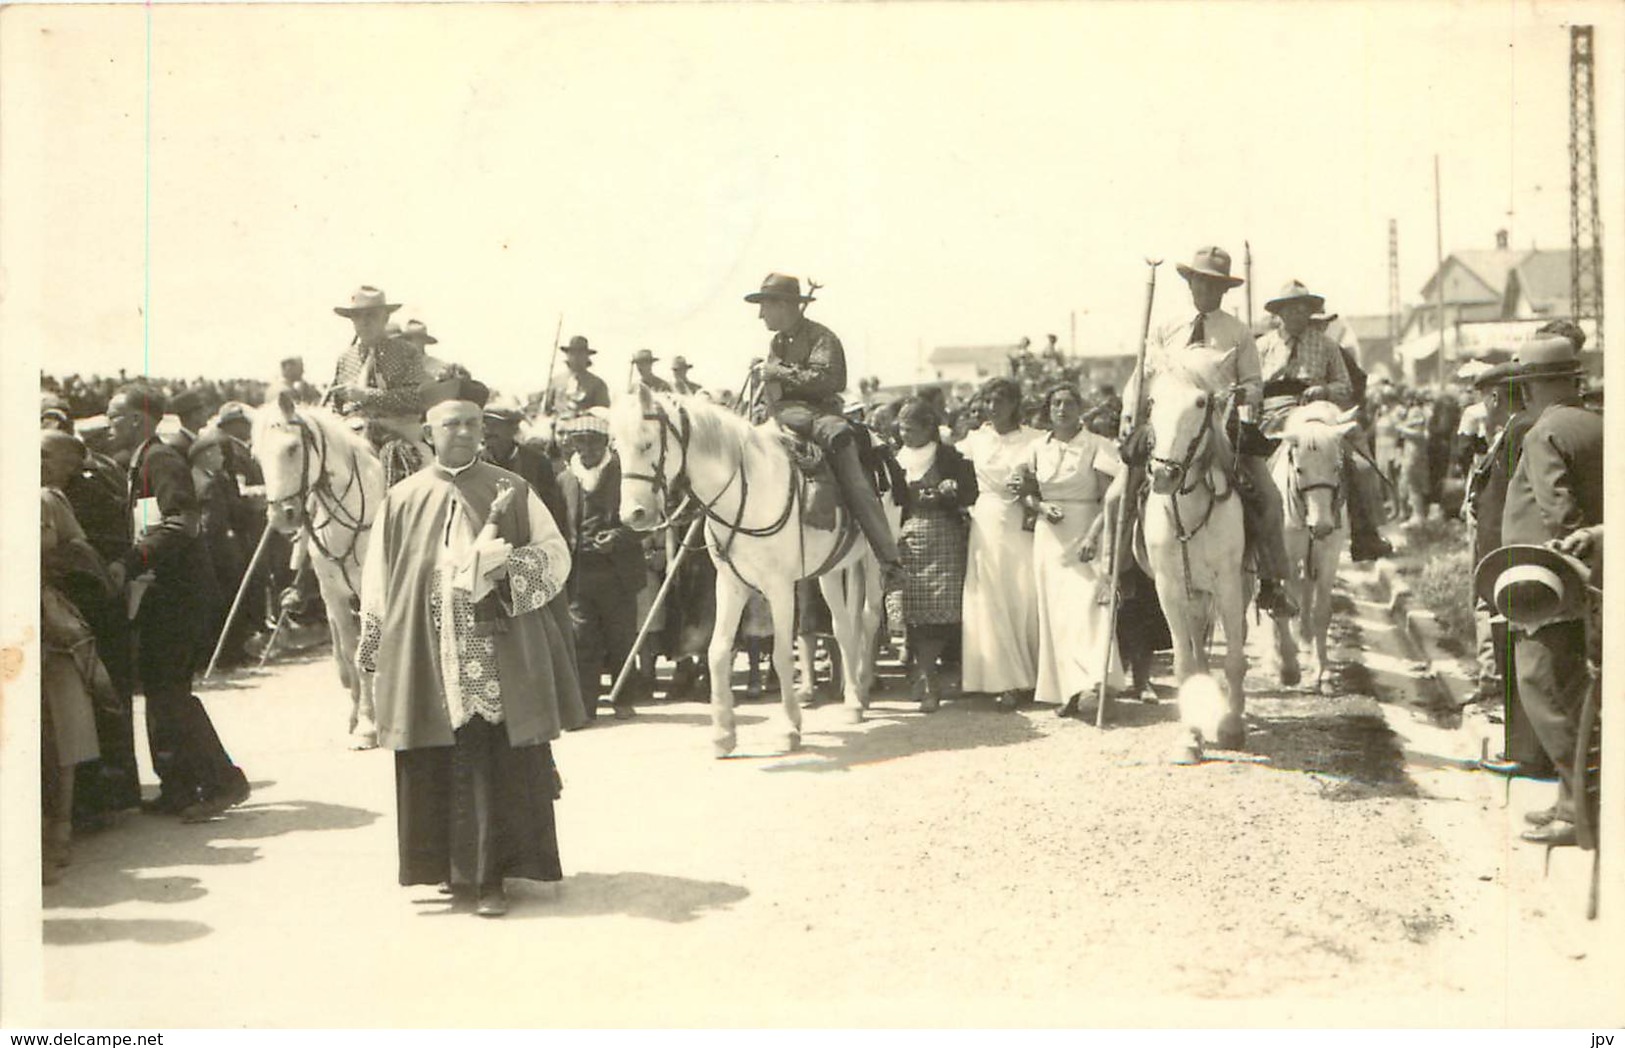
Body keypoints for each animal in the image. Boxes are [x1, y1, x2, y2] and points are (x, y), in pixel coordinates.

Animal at [251, 389, 388, 744]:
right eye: (257, 457)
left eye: (292, 447)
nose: (282, 516)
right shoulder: (332, 592)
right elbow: (353, 650)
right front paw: (362, 719)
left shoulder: (370, 591)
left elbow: (366, 648)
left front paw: (369, 724)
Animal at [611, 383, 890, 750]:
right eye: (616, 449)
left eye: (647, 443)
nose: (633, 515)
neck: (749, 491)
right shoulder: (731, 584)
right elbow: (717, 651)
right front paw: (724, 733)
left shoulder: (780, 587)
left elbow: (782, 654)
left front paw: (789, 728)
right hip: (830, 570)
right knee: (844, 626)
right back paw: (854, 702)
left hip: (872, 559)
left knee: (869, 618)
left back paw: (865, 686)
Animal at [1137, 365, 1248, 760]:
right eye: (1153, 401)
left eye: (1201, 402)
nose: (1163, 475)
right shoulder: (1169, 590)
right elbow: (1185, 665)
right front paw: (1189, 738)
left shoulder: (1229, 585)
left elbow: (1234, 661)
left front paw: (1231, 727)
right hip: (1194, 595)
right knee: (1199, 653)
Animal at [1267, 401, 1358, 695]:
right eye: (1299, 469)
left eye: (1337, 467)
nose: (1322, 526)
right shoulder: (1282, 555)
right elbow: (1282, 607)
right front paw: (1288, 668)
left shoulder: (1328, 554)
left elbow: (1320, 612)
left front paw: (1323, 673)